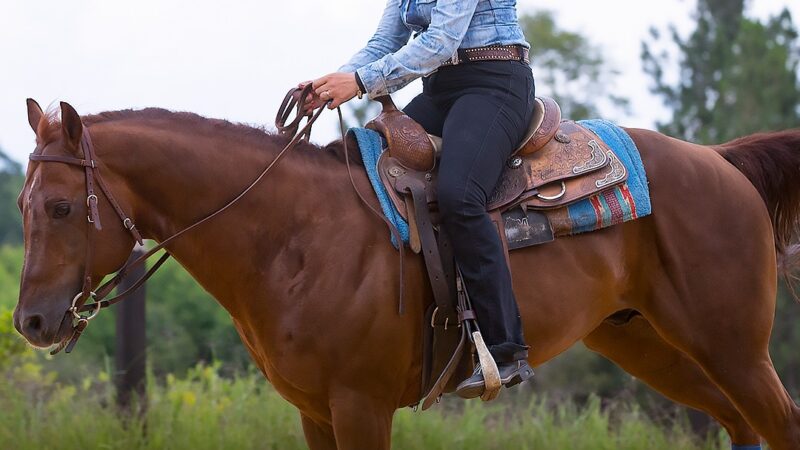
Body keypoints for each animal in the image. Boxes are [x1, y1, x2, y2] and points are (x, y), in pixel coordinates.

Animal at [12, 99, 800, 449]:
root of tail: (721, 161)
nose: (31, 323)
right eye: (20, 205)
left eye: (60, 206)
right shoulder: (315, 412)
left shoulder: (361, 406)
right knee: (737, 422)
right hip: (648, 344)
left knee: (777, 422)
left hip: (733, 347)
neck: (294, 234)